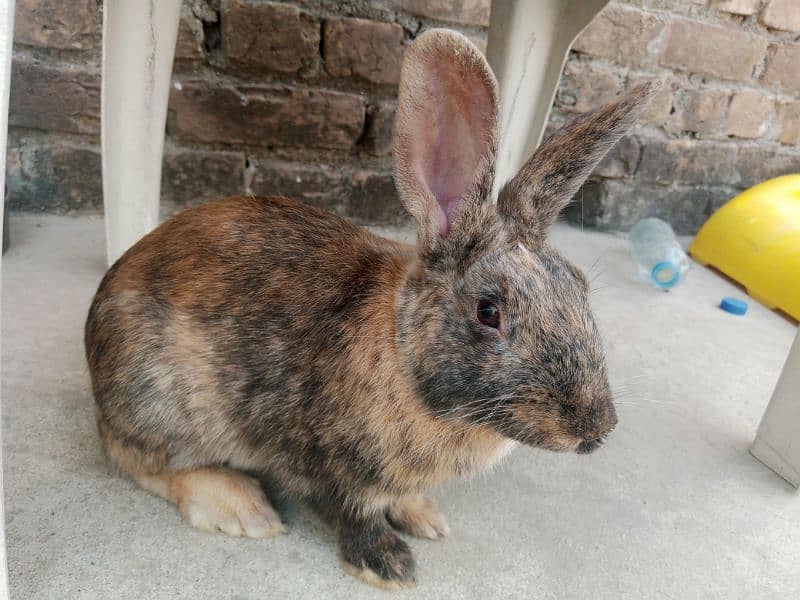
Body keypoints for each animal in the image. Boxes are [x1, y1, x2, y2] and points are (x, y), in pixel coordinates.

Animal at [84, 29, 660, 592]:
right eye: (488, 312)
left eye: (580, 286)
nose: (595, 429)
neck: (402, 355)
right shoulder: (330, 464)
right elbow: (353, 512)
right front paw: (389, 566)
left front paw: (425, 517)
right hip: (158, 397)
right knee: (141, 459)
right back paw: (243, 510)